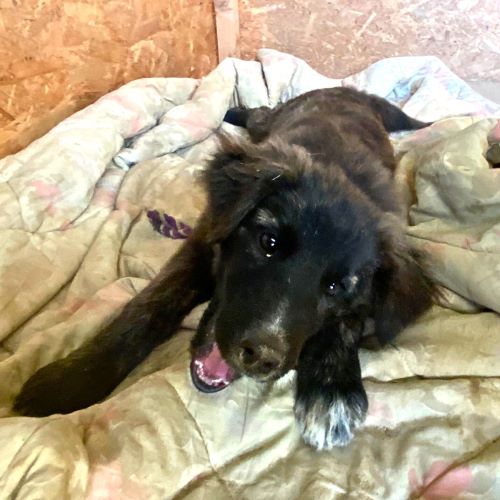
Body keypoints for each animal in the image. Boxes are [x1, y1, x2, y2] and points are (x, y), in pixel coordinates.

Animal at [14, 87, 436, 450]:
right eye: (268, 243)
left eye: (335, 287)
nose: (262, 356)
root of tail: (347, 91)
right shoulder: (201, 244)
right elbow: (147, 308)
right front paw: (71, 380)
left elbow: (346, 324)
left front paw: (332, 390)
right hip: (269, 122)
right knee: (260, 111)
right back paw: (233, 111)